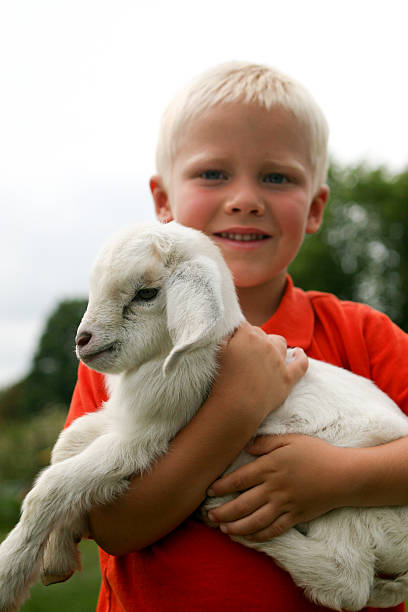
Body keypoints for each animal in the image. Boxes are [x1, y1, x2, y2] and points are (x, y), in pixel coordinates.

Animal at [0, 221, 408, 612]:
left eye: (146, 294)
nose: (83, 340)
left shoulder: (145, 439)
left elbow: (52, 485)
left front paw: (9, 572)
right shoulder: (125, 421)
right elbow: (67, 443)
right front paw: (58, 555)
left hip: (348, 505)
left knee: (347, 581)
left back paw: (238, 525)